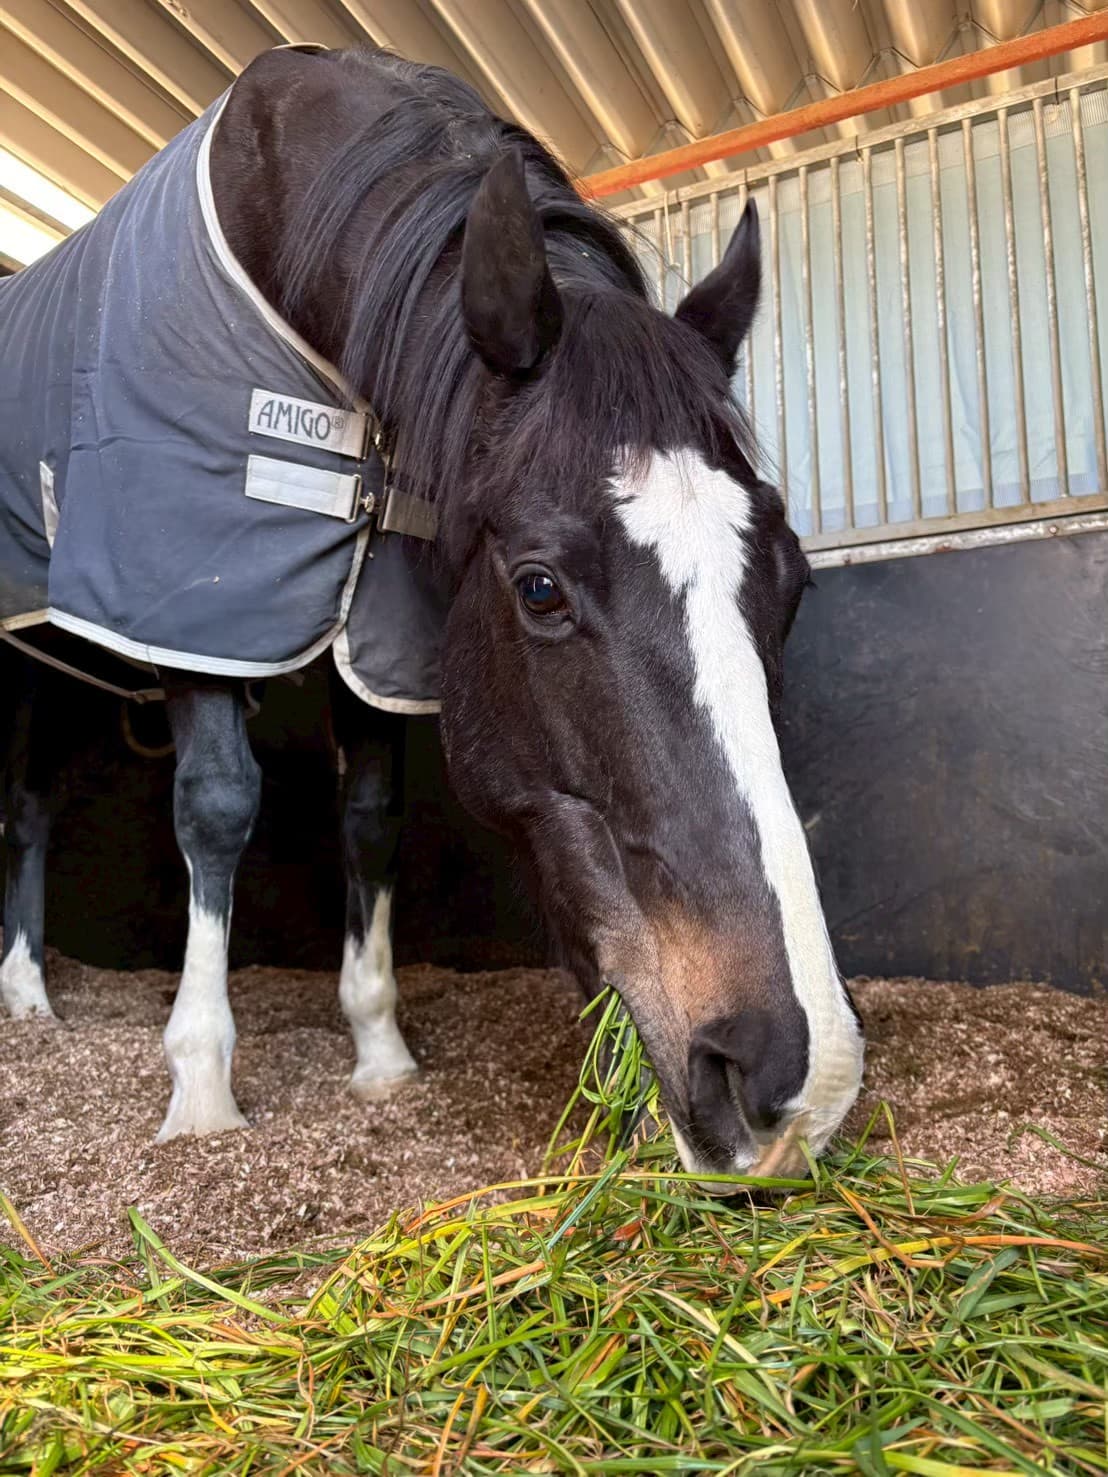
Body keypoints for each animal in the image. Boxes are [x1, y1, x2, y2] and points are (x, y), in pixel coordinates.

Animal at [0, 45, 863, 1180]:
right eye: (539, 587)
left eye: (792, 580)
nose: (794, 1081)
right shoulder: (193, 601)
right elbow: (220, 806)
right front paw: (202, 1088)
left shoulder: (377, 640)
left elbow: (371, 822)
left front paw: (381, 1057)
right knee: (25, 810)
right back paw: (26, 1000)